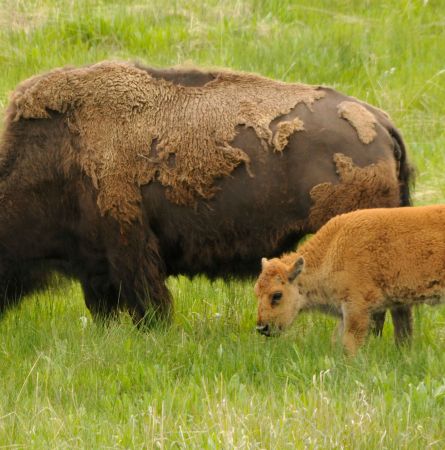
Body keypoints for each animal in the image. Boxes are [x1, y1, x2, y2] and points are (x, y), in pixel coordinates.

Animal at [253, 204, 444, 356]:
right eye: (256, 292)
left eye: (277, 295)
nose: (262, 328)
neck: (331, 249)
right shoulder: (395, 306)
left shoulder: (356, 308)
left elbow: (350, 342)